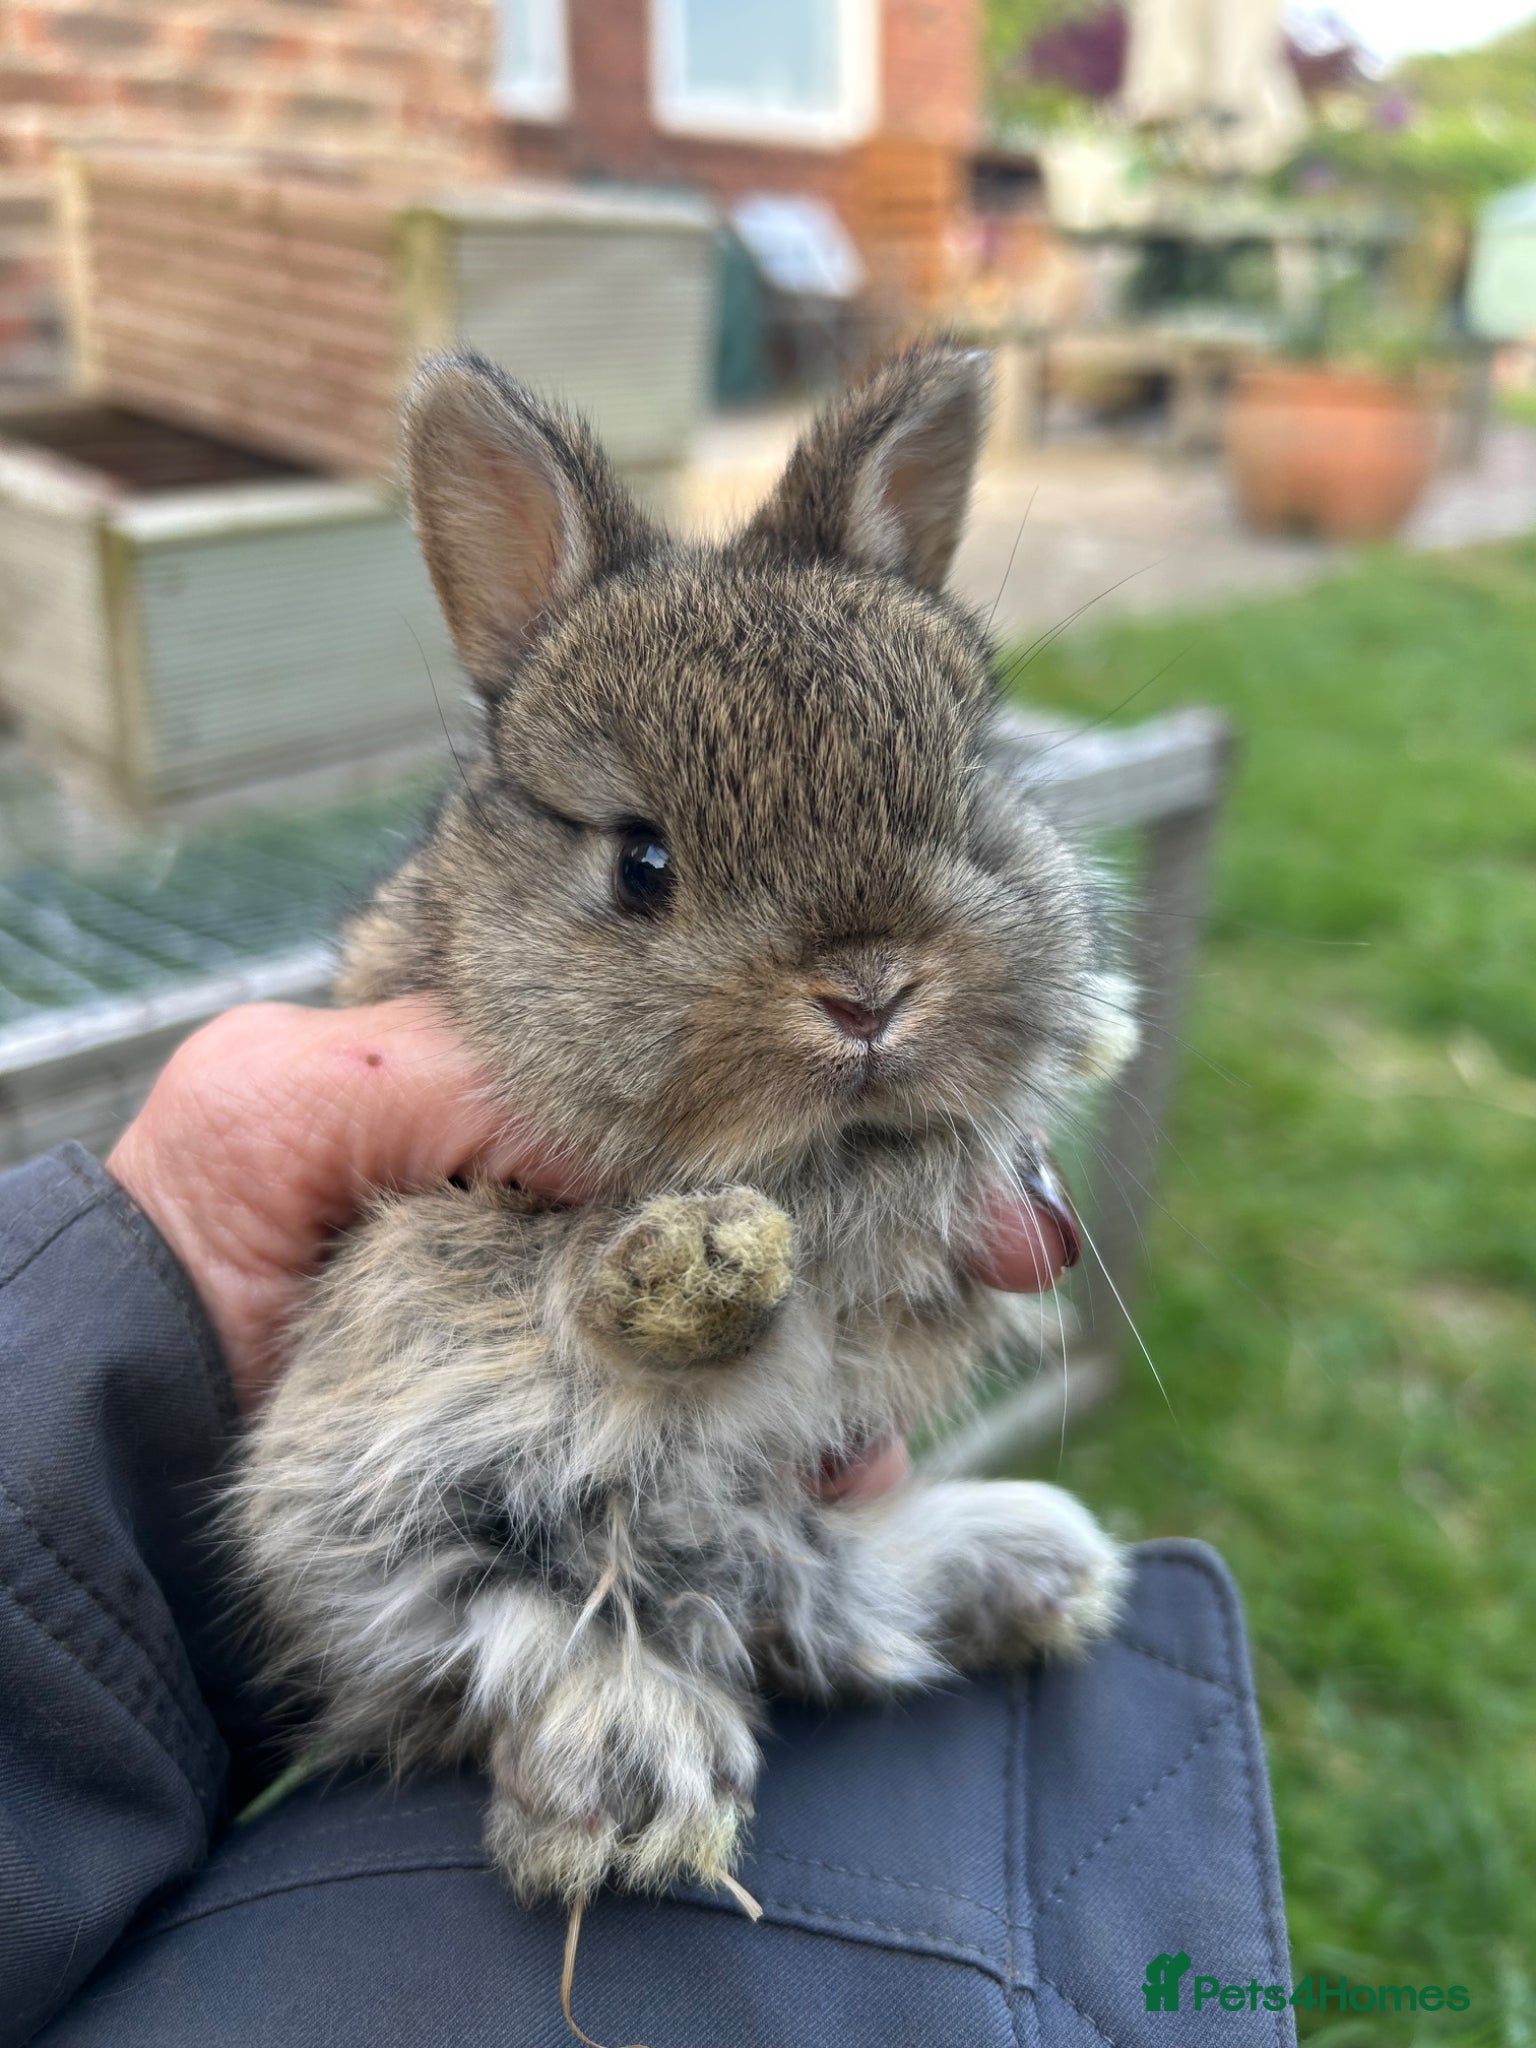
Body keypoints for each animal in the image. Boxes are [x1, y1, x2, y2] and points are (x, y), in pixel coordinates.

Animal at [233, 342, 1140, 1915]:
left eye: (967, 805)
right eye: (641, 863)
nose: (868, 988)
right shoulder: (435, 1265)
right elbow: (571, 1308)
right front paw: (696, 1271)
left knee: (821, 1606)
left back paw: (1037, 1565)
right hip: (369, 1499)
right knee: (531, 1629)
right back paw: (637, 1780)